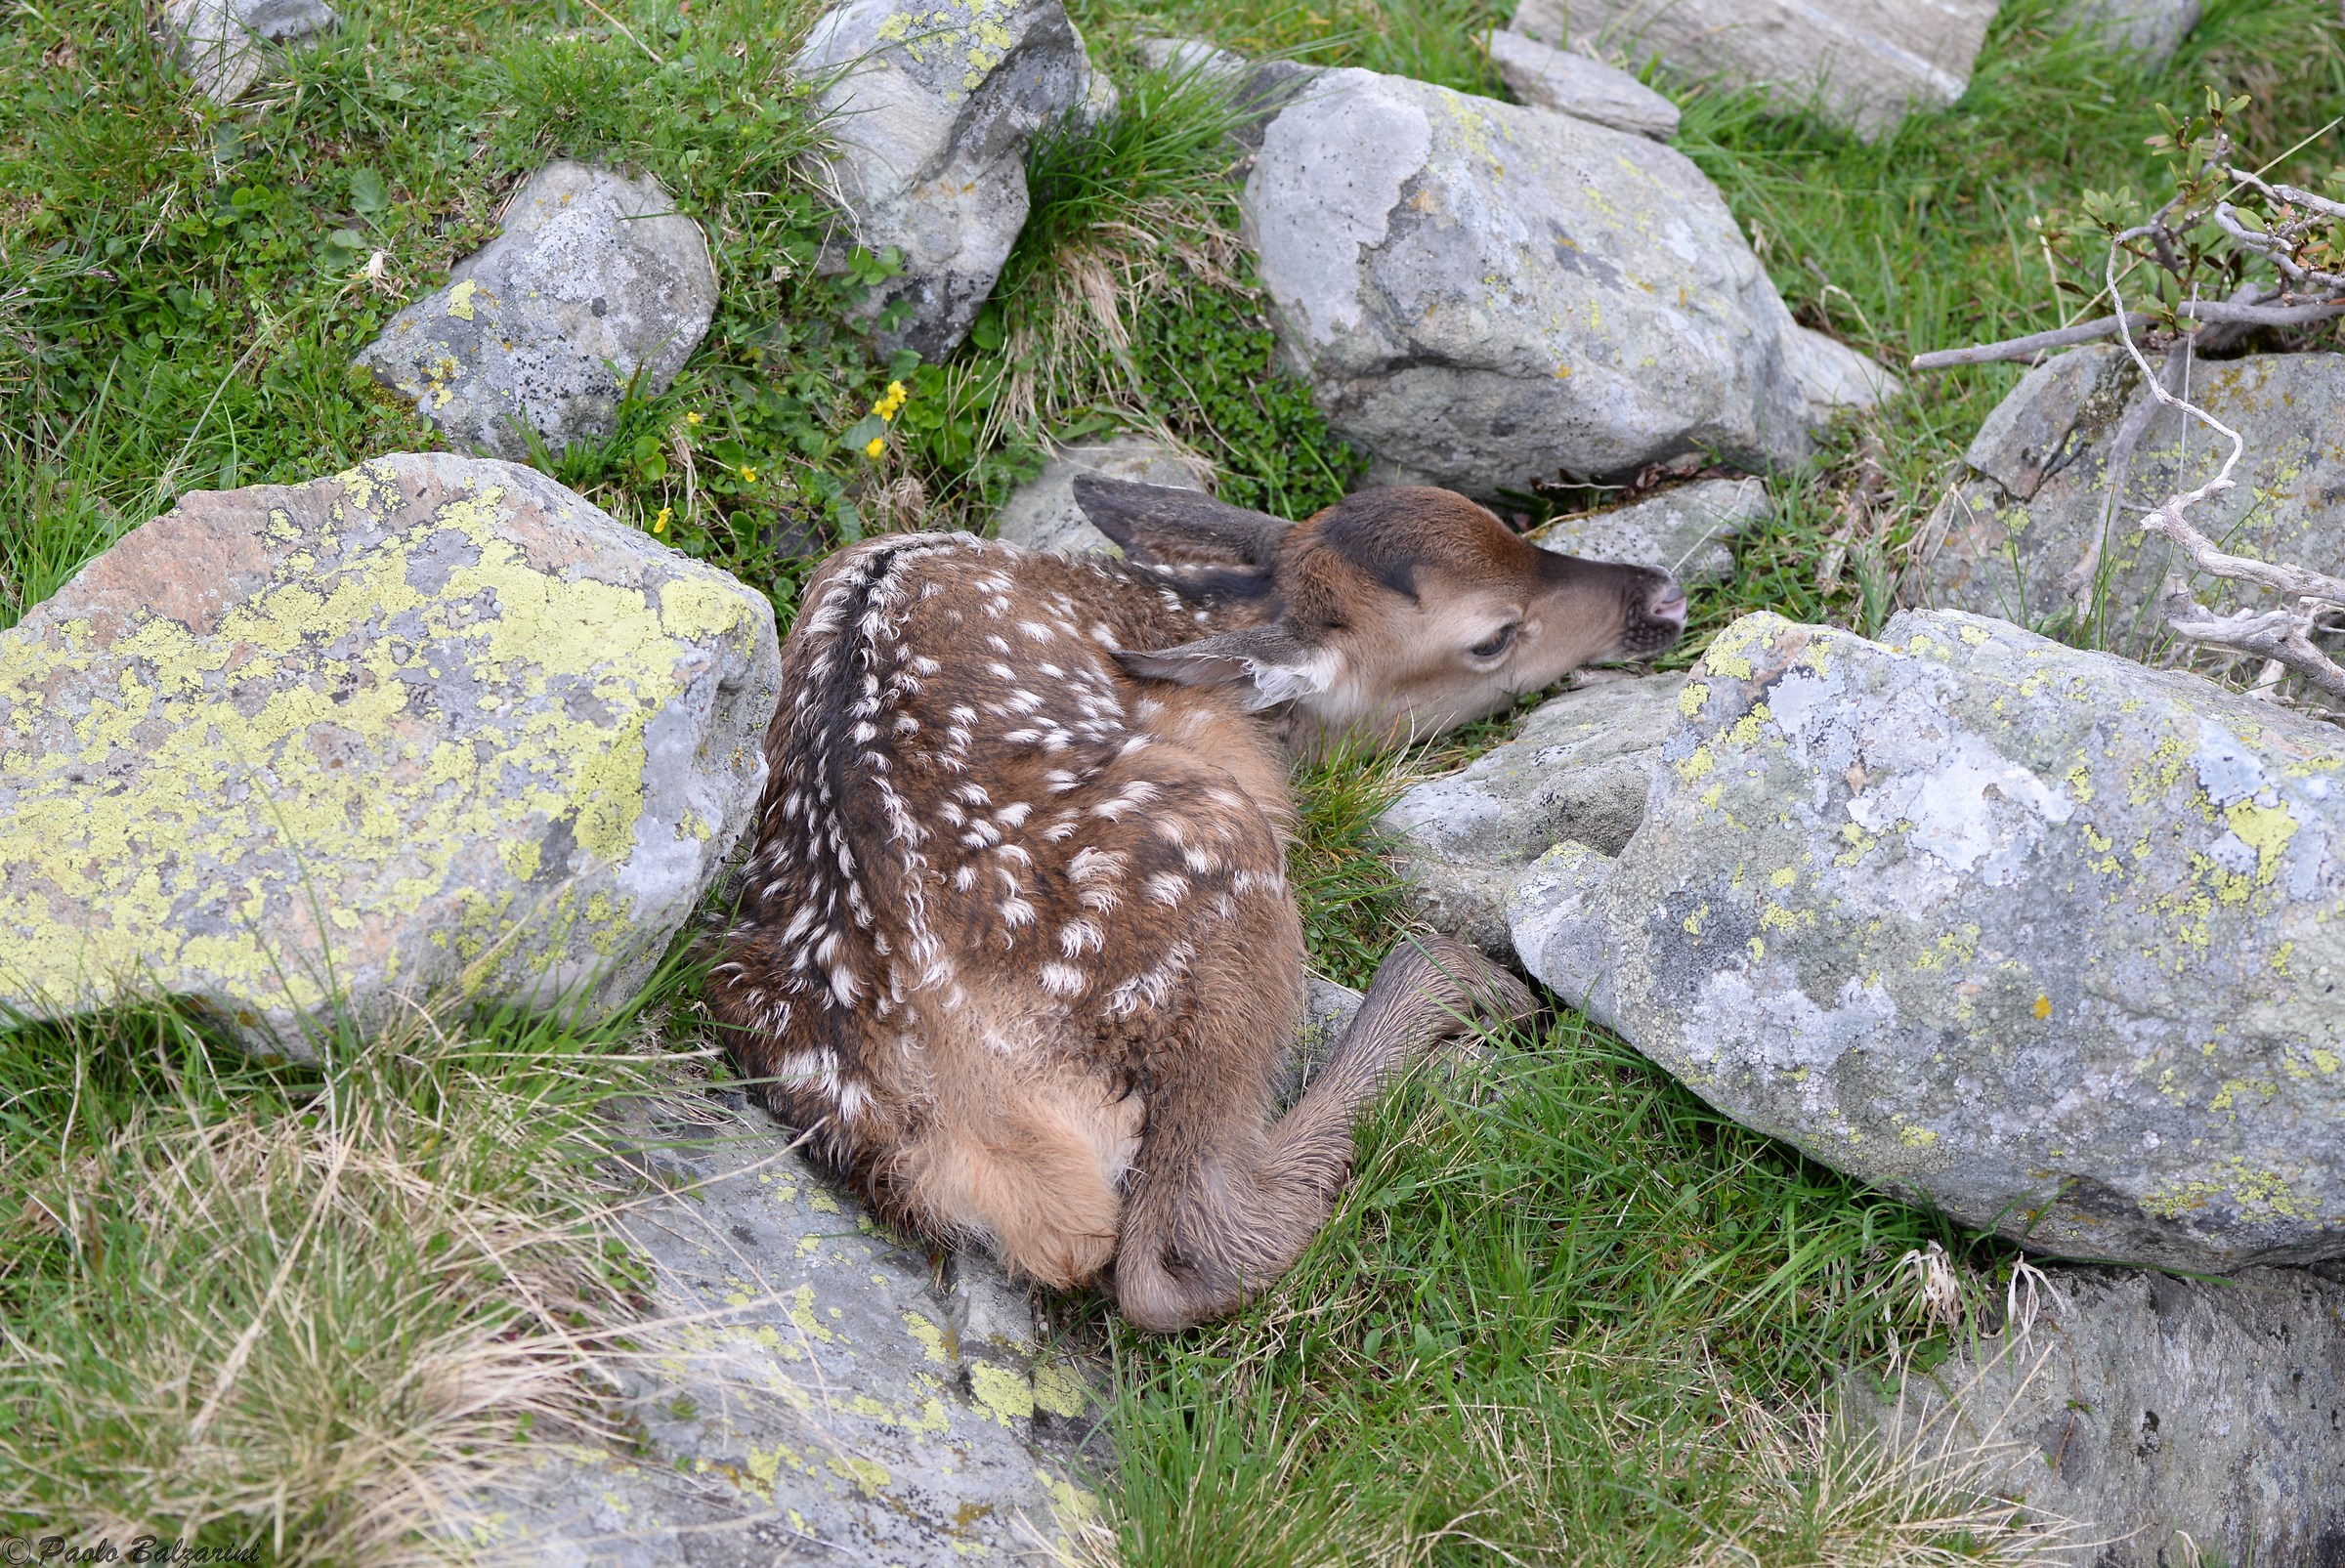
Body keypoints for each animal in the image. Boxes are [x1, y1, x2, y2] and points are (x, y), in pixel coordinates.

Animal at [705, 479, 1687, 1331]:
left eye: (1509, 529)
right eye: (1493, 636)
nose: (1662, 592)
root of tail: (973, 1089)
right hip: (1219, 857)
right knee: (1180, 1253)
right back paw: (1463, 987)